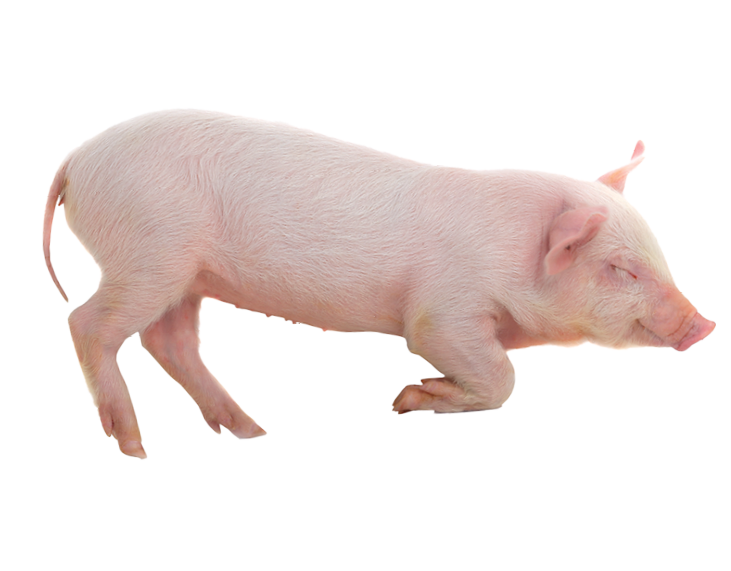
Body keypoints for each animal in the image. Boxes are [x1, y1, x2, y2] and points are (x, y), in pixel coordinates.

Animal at [43, 109, 715, 459]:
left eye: (659, 254)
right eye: (620, 269)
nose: (704, 325)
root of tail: (75, 160)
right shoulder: (443, 312)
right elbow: (496, 374)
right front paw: (405, 399)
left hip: (185, 273)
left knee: (170, 342)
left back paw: (252, 432)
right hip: (148, 254)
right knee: (85, 322)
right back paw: (134, 445)